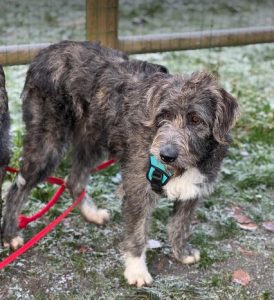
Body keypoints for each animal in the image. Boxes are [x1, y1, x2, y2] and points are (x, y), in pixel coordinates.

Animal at [1, 39, 239, 286]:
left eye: (195, 119)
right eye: (163, 115)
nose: (166, 155)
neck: (182, 166)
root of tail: (45, 51)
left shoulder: (195, 187)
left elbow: (180, 224)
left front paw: (181, 252)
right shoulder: (137, 187)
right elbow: (137, 232)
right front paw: (136, 270)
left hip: (92, 142)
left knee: (74, 180)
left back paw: (91, 214)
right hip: (48, 143)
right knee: (17, 187)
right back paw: (10, 234)